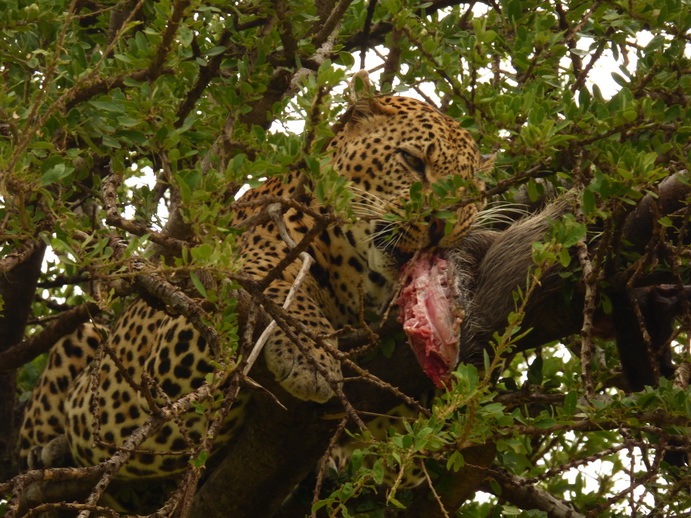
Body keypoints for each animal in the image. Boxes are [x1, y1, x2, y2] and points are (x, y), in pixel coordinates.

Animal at [18, 89, 490, 484]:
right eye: (412, 161)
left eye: (472, 191)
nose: (443, 223)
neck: (360, 280)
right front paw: (310, 355)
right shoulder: (186, 325)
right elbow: (278, 281)